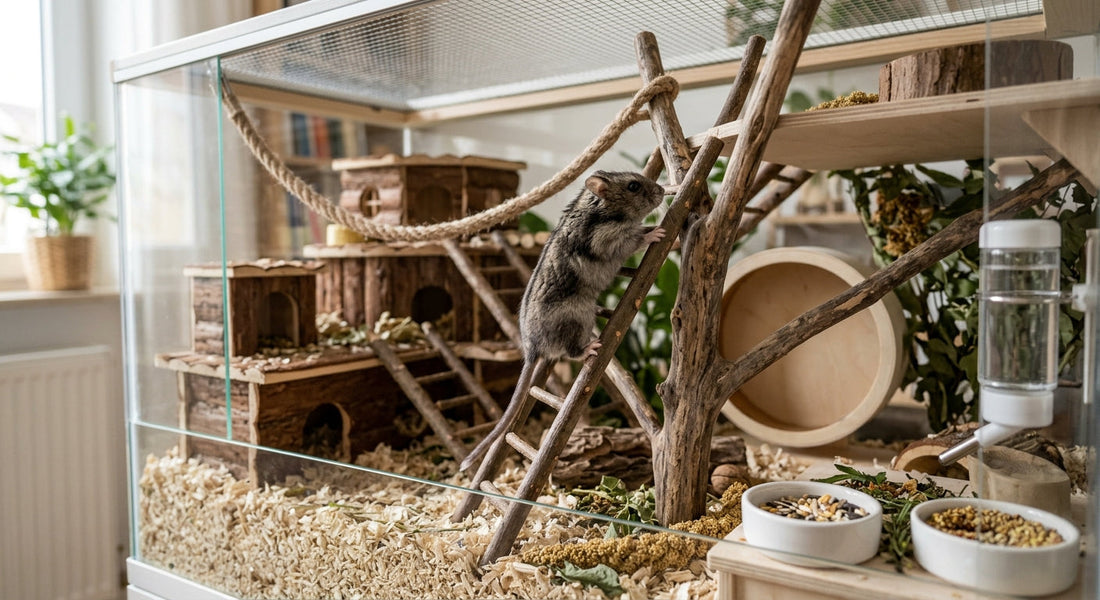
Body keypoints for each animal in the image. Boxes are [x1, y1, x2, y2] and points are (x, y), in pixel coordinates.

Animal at [459, 171, 666, 472]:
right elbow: (637, 238)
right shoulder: (612, 240)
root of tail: (532, 351)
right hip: (577, 318)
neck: (601, 210)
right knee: (572, 351)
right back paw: (591, 348)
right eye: (633, 186)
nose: (662, 191)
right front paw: (657, 233)